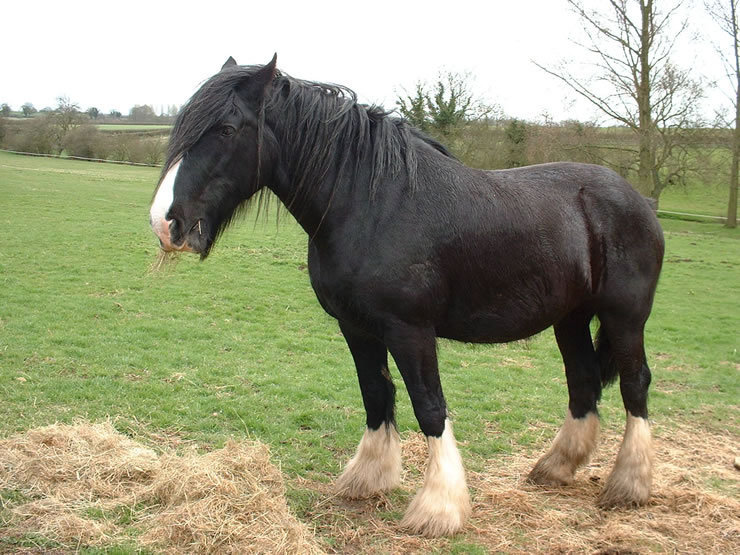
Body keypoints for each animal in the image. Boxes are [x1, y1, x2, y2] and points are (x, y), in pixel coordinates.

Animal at [149, 55, 664, 536]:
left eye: (227, 128)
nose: (165, 222)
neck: (371, 203)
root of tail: (637, 200)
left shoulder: (410, 330)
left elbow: (429, 405)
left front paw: (439, 508)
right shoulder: (355, 326)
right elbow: (376, 394)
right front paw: (367, 479)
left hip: (624, 317)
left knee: (635, 385)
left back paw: (630, 486)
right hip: (570, 317)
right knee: (583, 383)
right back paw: (555, 468)